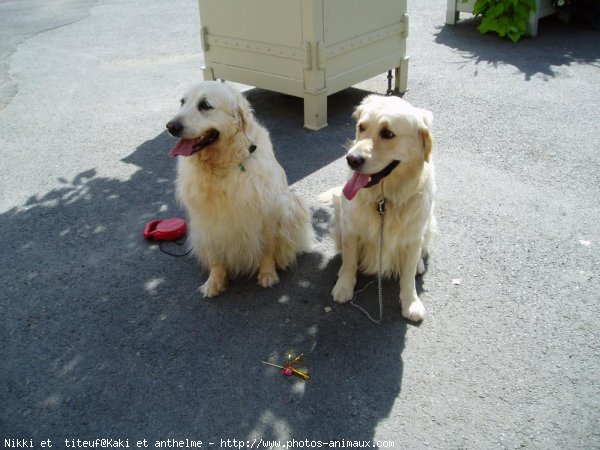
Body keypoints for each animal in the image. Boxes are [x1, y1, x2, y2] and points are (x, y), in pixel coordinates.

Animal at [165, 81, 314, 298]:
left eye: (205, 105)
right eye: (182, 102)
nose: (171, 127)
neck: (223, 167)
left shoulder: (268, 214)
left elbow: (267, 248)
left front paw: (267, 274)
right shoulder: (207, 222)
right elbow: (215, 255)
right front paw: (215, 281)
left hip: (293, 205)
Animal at [330, 95, 434, 322]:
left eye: (388, 134)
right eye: (361, 127)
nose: (351, 159)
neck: (383, 200)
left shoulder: (414, 235)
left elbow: (407, 275)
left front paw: (411, 303)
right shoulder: (350, 229)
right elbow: (349, 261)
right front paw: (343, 286)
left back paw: (420, 265)